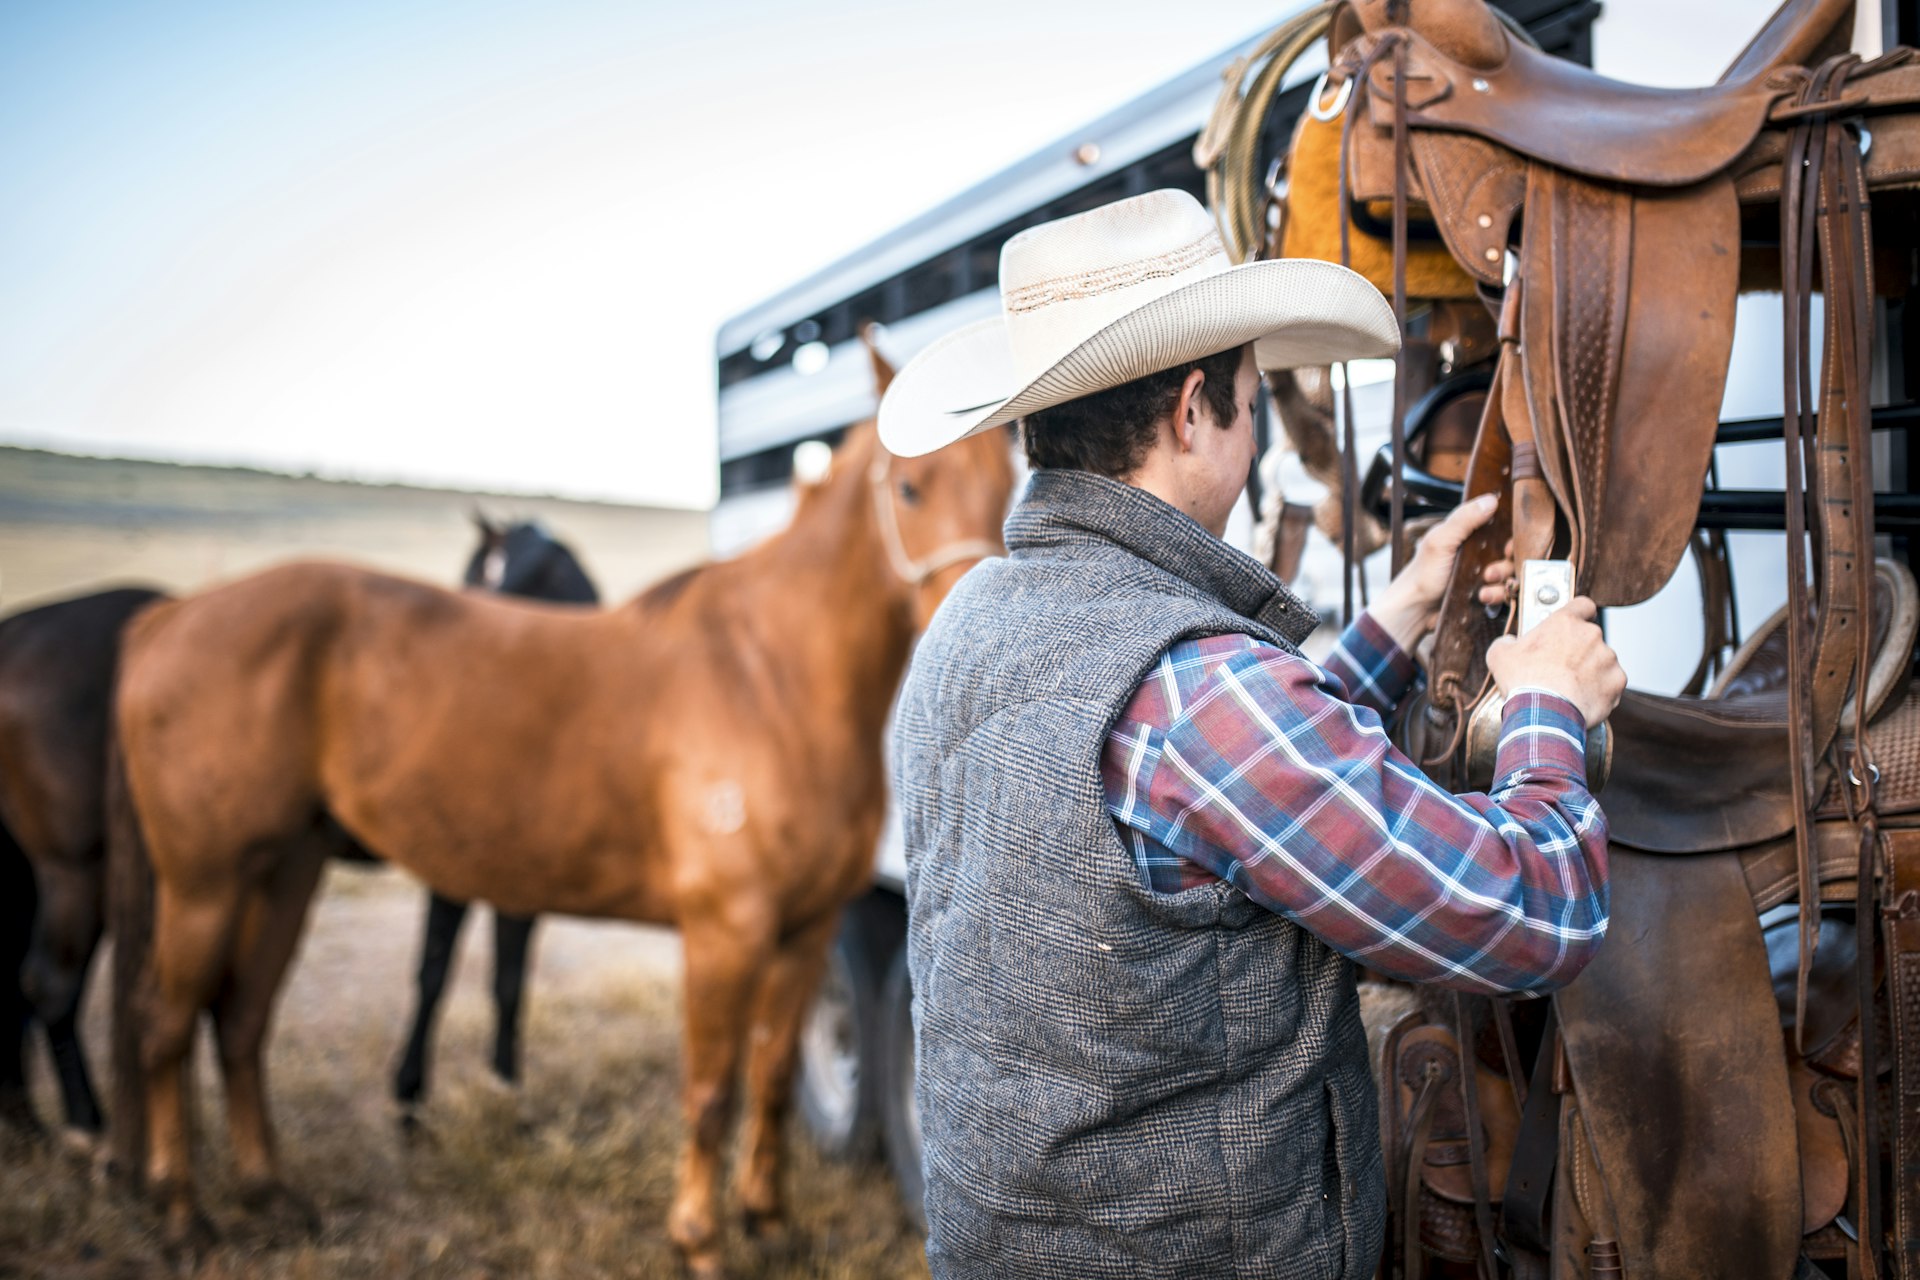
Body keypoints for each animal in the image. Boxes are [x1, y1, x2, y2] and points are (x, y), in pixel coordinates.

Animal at [389, 514, 599, 1120]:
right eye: (472, 582)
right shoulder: (445, 867)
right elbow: (433, 968)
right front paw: (409, 1092)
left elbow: (509, 977)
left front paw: (505, 1079)